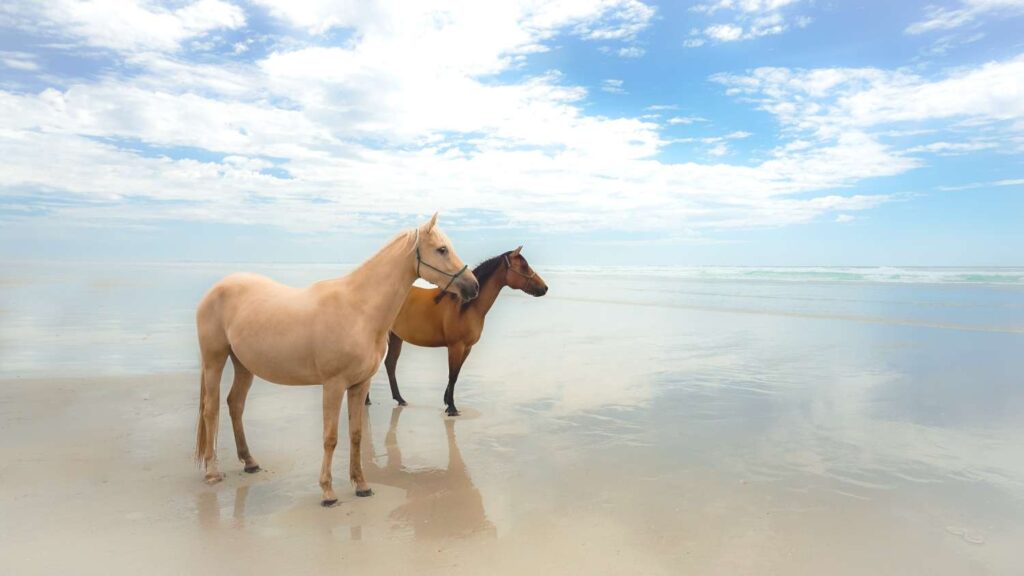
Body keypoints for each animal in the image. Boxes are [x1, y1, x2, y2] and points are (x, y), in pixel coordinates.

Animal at [194, 214, 479, 506]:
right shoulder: (333, 385)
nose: (473, 286)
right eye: (442, 250)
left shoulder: (359, 384)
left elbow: (356, 434)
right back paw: (213, 472)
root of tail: (215, 290)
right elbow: (330, 437)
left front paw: (362, 485)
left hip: (243, 365)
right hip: (215, 359)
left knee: (235, 405)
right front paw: (328, 492)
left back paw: (249, 461)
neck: (359, 309)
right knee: (211, 410)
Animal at [367, 246, 547, 415]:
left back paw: (399, 399)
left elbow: (456, 374)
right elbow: (452, 375)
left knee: (390, 364)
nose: (545, 288)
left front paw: (447, 402)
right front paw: (452, 408)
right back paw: (367, 400)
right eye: (524, 266)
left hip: (396, 337)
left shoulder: (467, 348)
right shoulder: (456, 346)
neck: (465, 306)